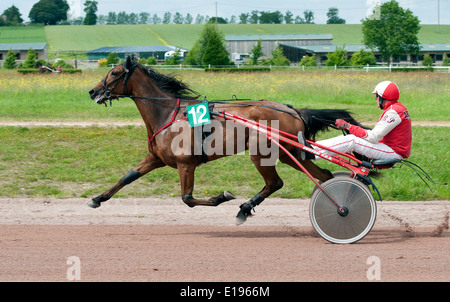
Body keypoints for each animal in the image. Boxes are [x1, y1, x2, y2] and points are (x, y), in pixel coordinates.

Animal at [89, 56, 366, 224]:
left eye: (114, 72)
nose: (92, 91)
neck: (167, 113)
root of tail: (294, 110)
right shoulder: (156, 158)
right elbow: (128, 176)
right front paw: (97, 199)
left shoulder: (186, 164)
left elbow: (187, 199)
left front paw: (222, 197)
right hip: (291, 154)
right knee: (323, 176)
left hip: (262, 153)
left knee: (275, 183)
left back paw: (244, 208)